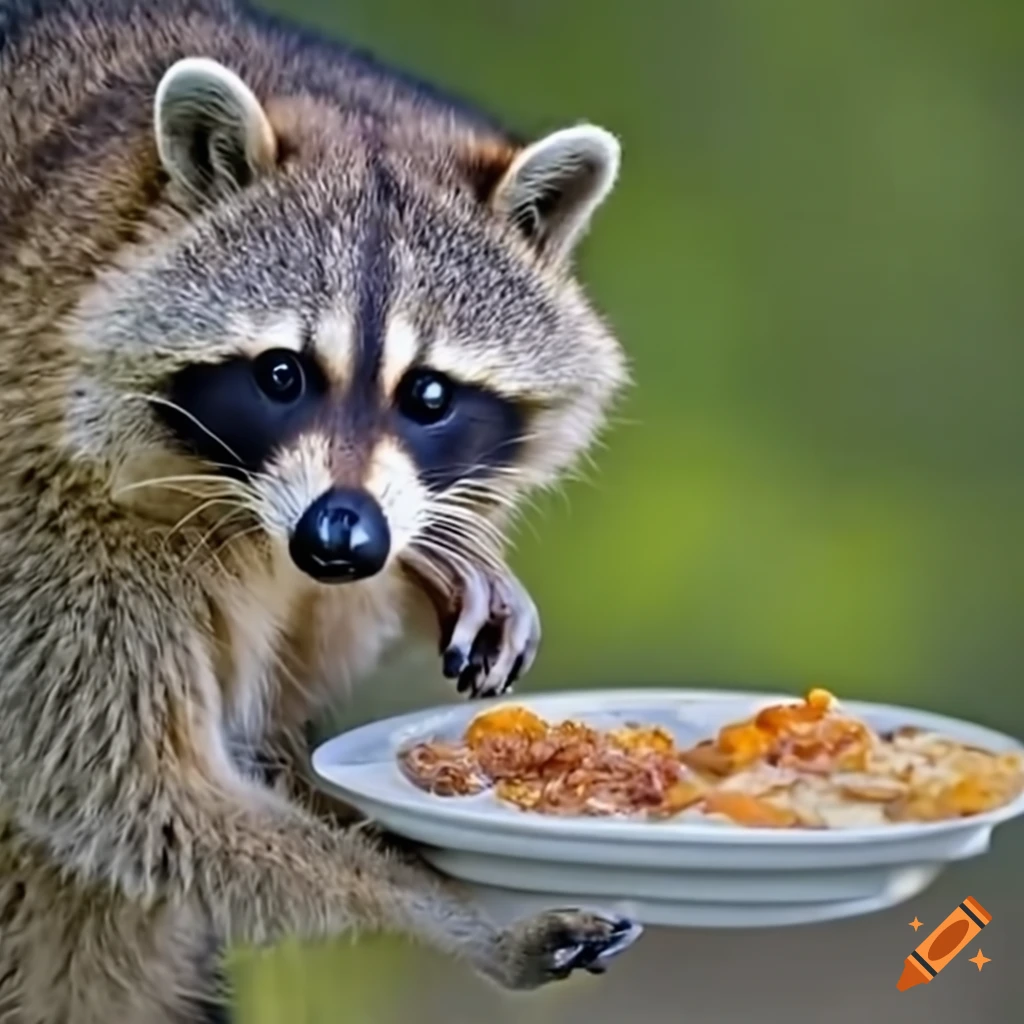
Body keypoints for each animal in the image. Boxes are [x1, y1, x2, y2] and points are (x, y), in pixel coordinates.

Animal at [0, 1, 633, 1021]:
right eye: (281, 375)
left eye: (428, 394)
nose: (342, 536)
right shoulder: (45, 529)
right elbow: (140, 798)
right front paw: (456, 911)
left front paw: (449, 551)